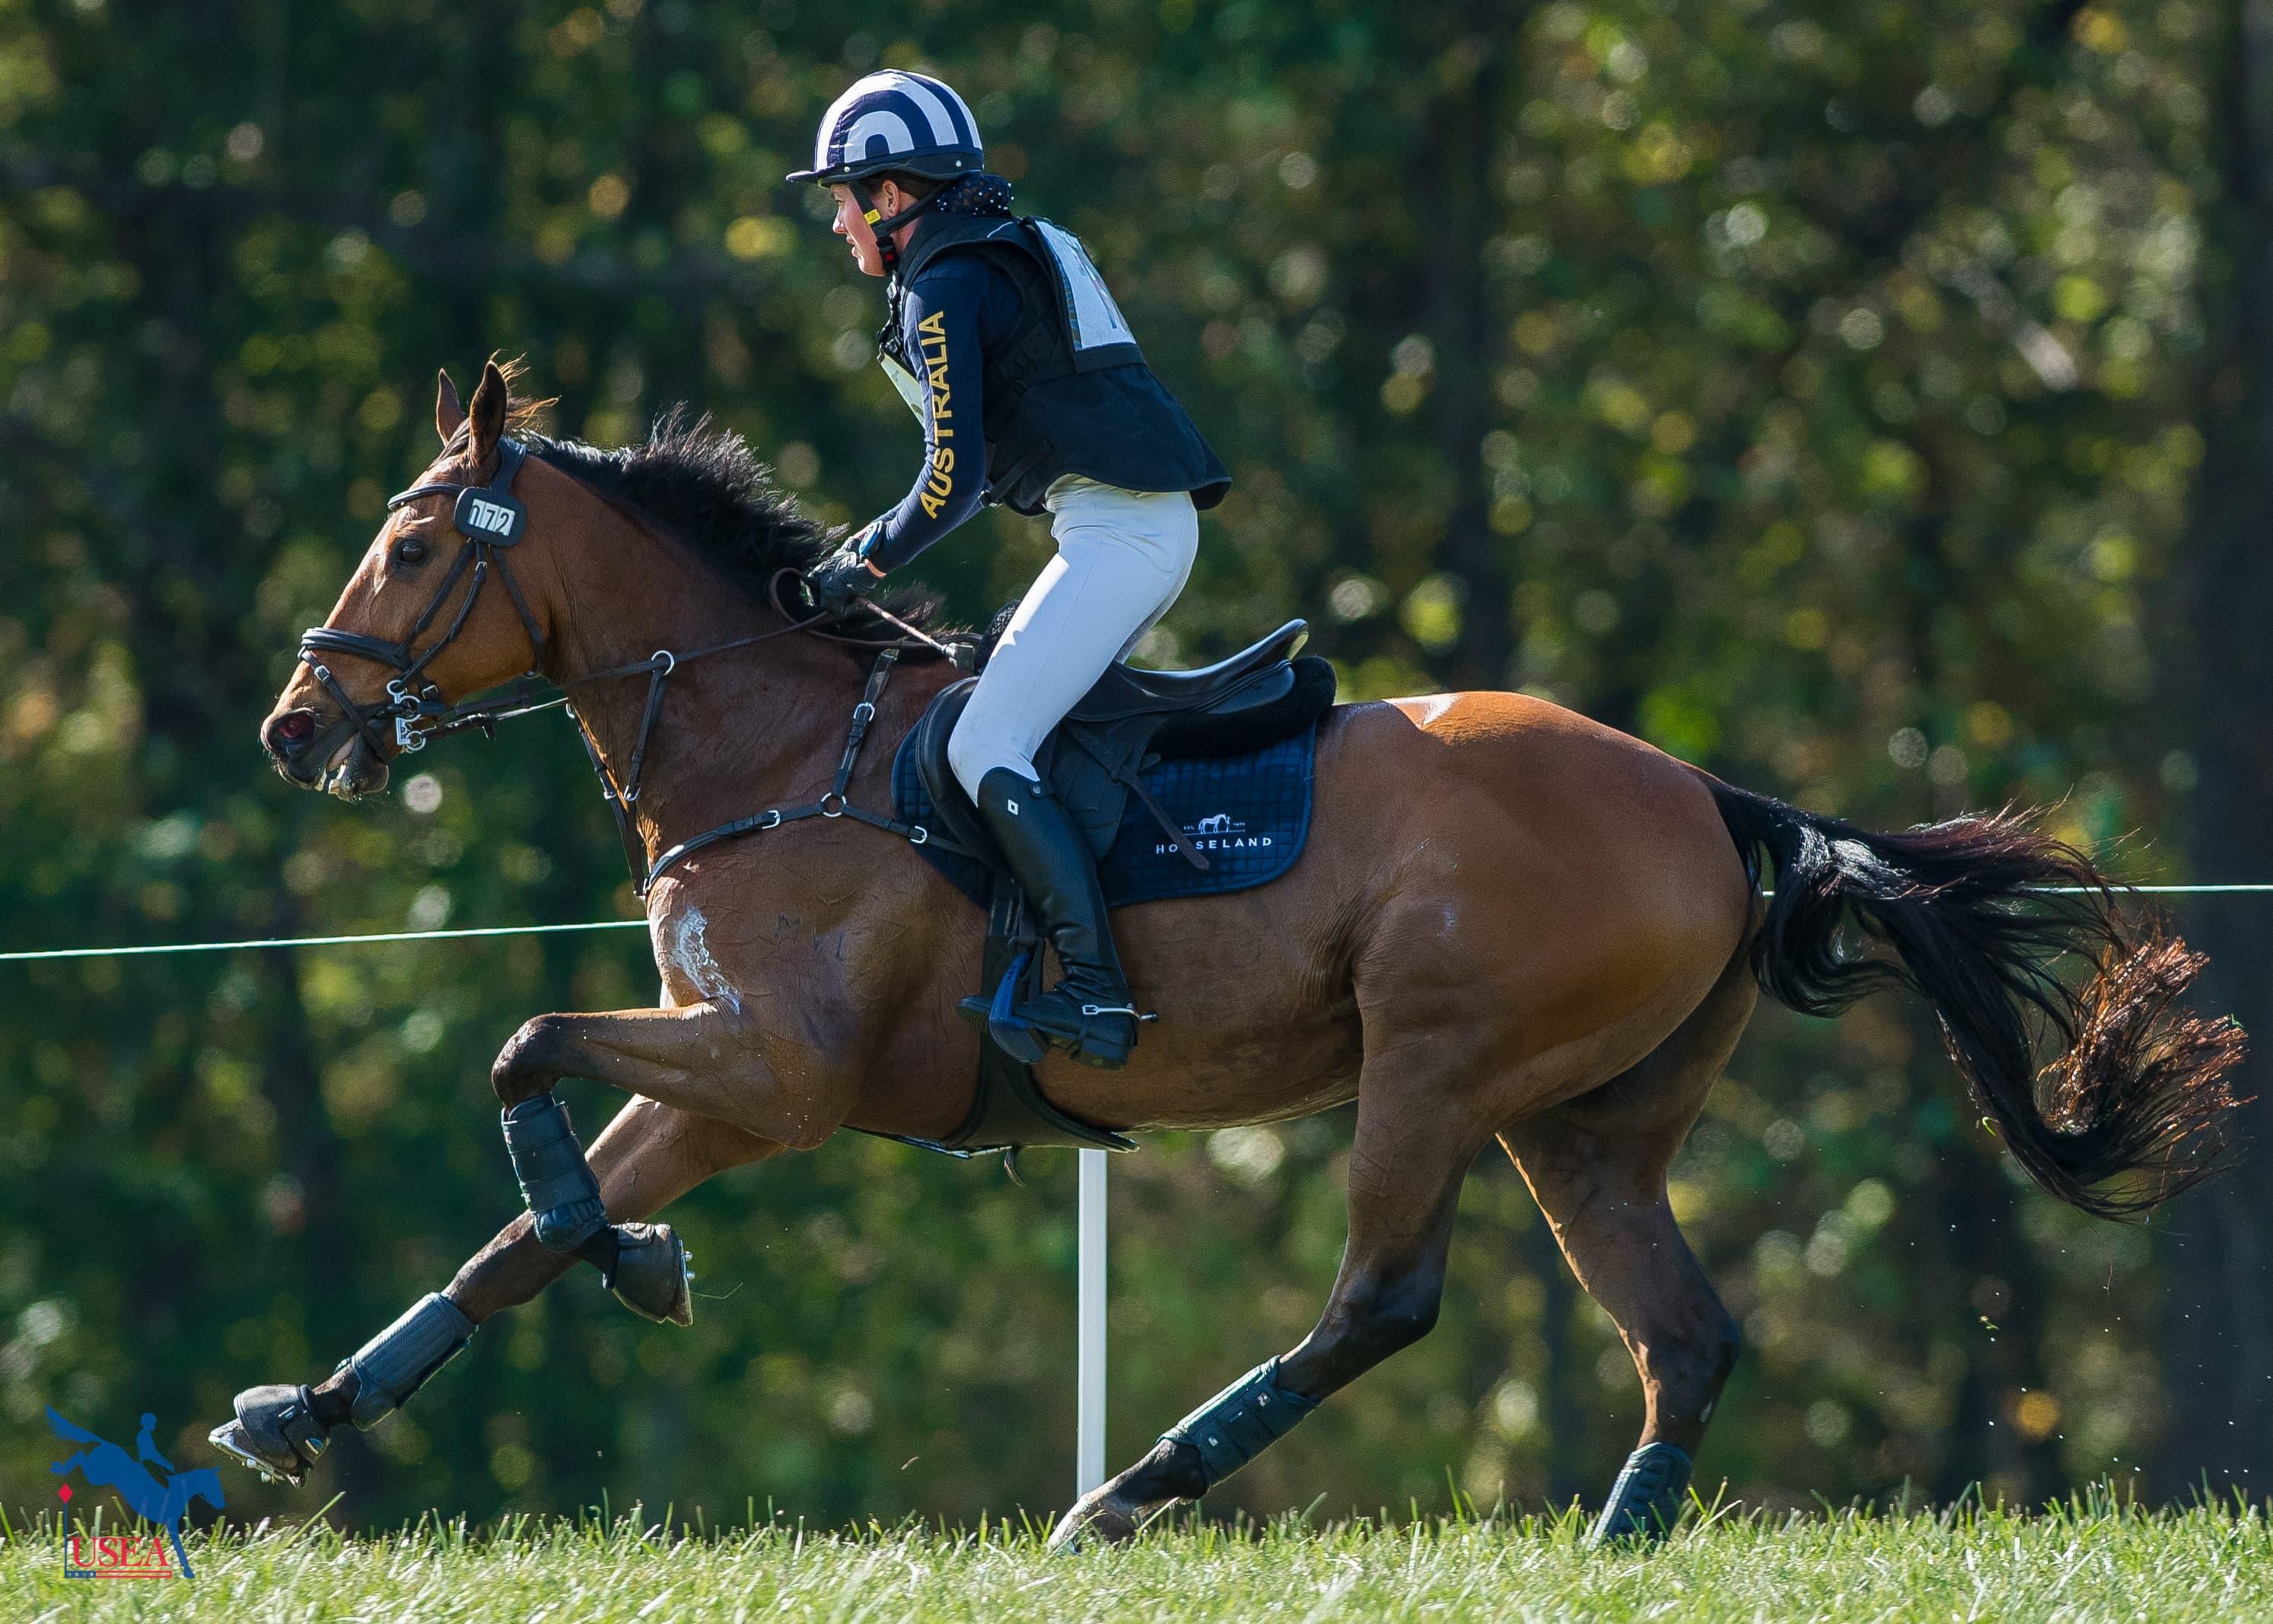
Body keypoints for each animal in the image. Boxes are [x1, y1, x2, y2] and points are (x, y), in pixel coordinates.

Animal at [230, 360, 2242, 1544]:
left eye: (412, 542)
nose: (294, 726)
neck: (770, 740)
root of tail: (1700, 787)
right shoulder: (716, 1060)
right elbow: (507, 1233)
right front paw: (313, 1404)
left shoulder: (778, 1070)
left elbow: (521, 1051)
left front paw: (626, 1255)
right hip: (1583, 1119)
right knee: (1679, 1328)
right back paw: (1614, 1538)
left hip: (1432, 1064)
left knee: (1382, 1300)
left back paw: (1127, 1493)